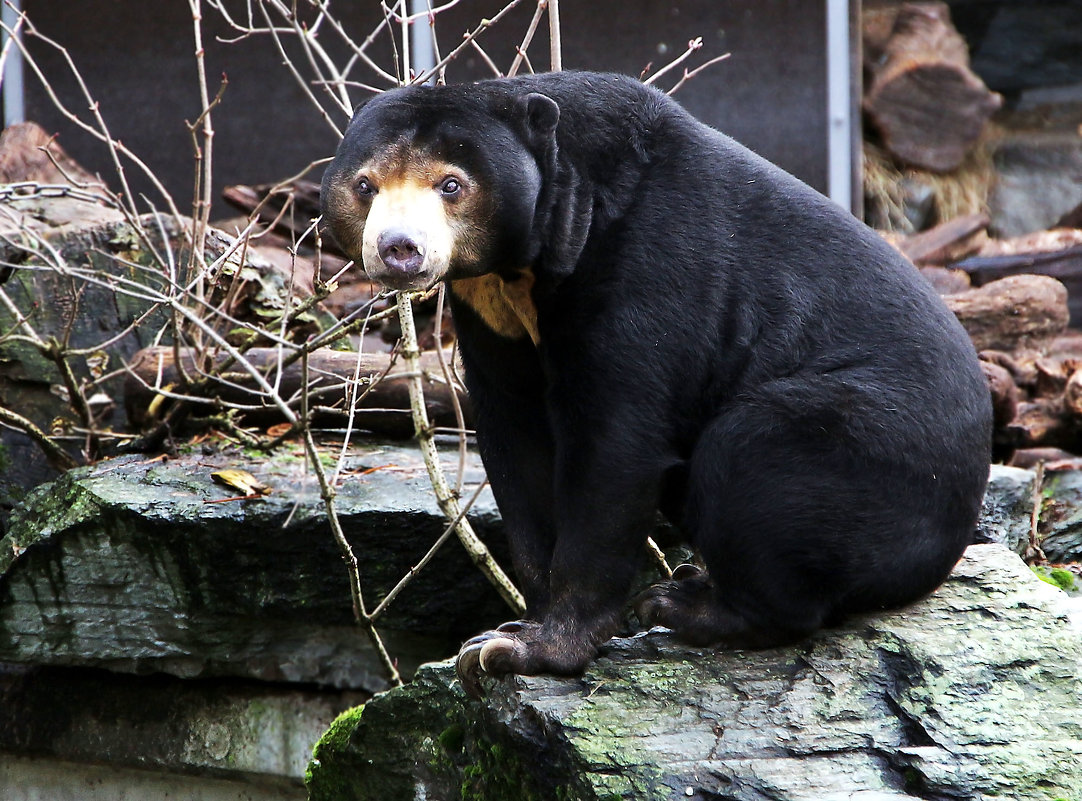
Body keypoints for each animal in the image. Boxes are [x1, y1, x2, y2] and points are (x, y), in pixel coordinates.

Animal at [318, 70, 991, 692]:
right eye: (365, 185)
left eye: (451, 185)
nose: (399, 249)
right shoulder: (491, 316)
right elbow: (518, 445)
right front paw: (504, 633)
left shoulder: (649, 272)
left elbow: (614, 446)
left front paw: (531, 649)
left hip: (869, 458)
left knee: (753, 456)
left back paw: (686, 605)